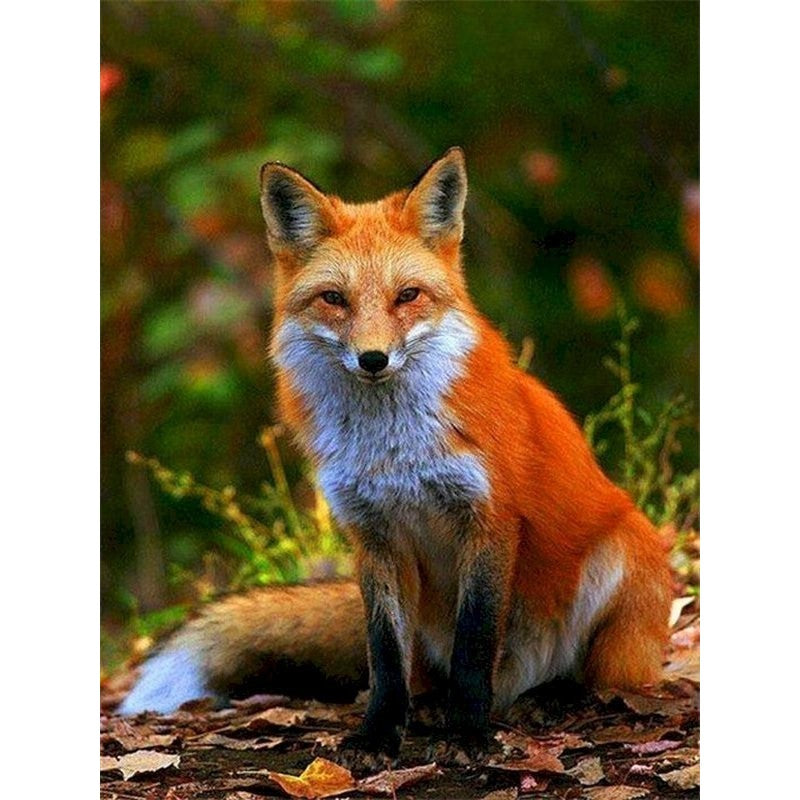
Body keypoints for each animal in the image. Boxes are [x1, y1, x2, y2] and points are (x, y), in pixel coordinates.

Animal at [119, 147, 672, 763]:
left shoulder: (489, 520)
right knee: (422, 671)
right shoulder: (373, 534)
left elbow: (474, 645)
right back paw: (433, 707)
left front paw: (468, 732)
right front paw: (380, 734)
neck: (392, 452)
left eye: (407, 295)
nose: (373, 359)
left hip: (618, 560)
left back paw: (552, 697)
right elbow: (384, 656)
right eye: (334, 299)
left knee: (598, 680)